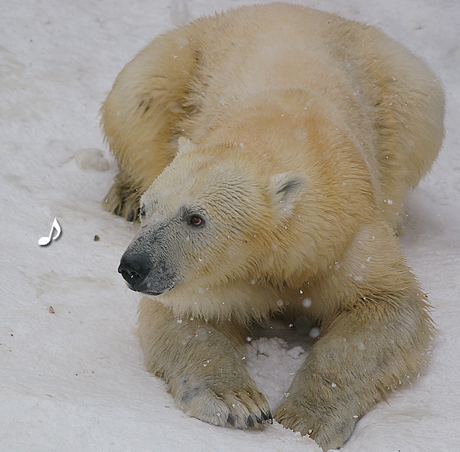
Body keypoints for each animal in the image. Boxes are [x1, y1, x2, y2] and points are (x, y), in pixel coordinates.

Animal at [101, 2, 446, 448]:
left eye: (196, 218)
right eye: (150, 210)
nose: (134, 266)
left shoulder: (344, 232)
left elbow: (386, 306)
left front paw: (305, 418)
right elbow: (185, 316)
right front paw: (237, 402)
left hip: (400, 86)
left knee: (419, 108)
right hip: (177, 60)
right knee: (138, 96)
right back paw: (122, 192)